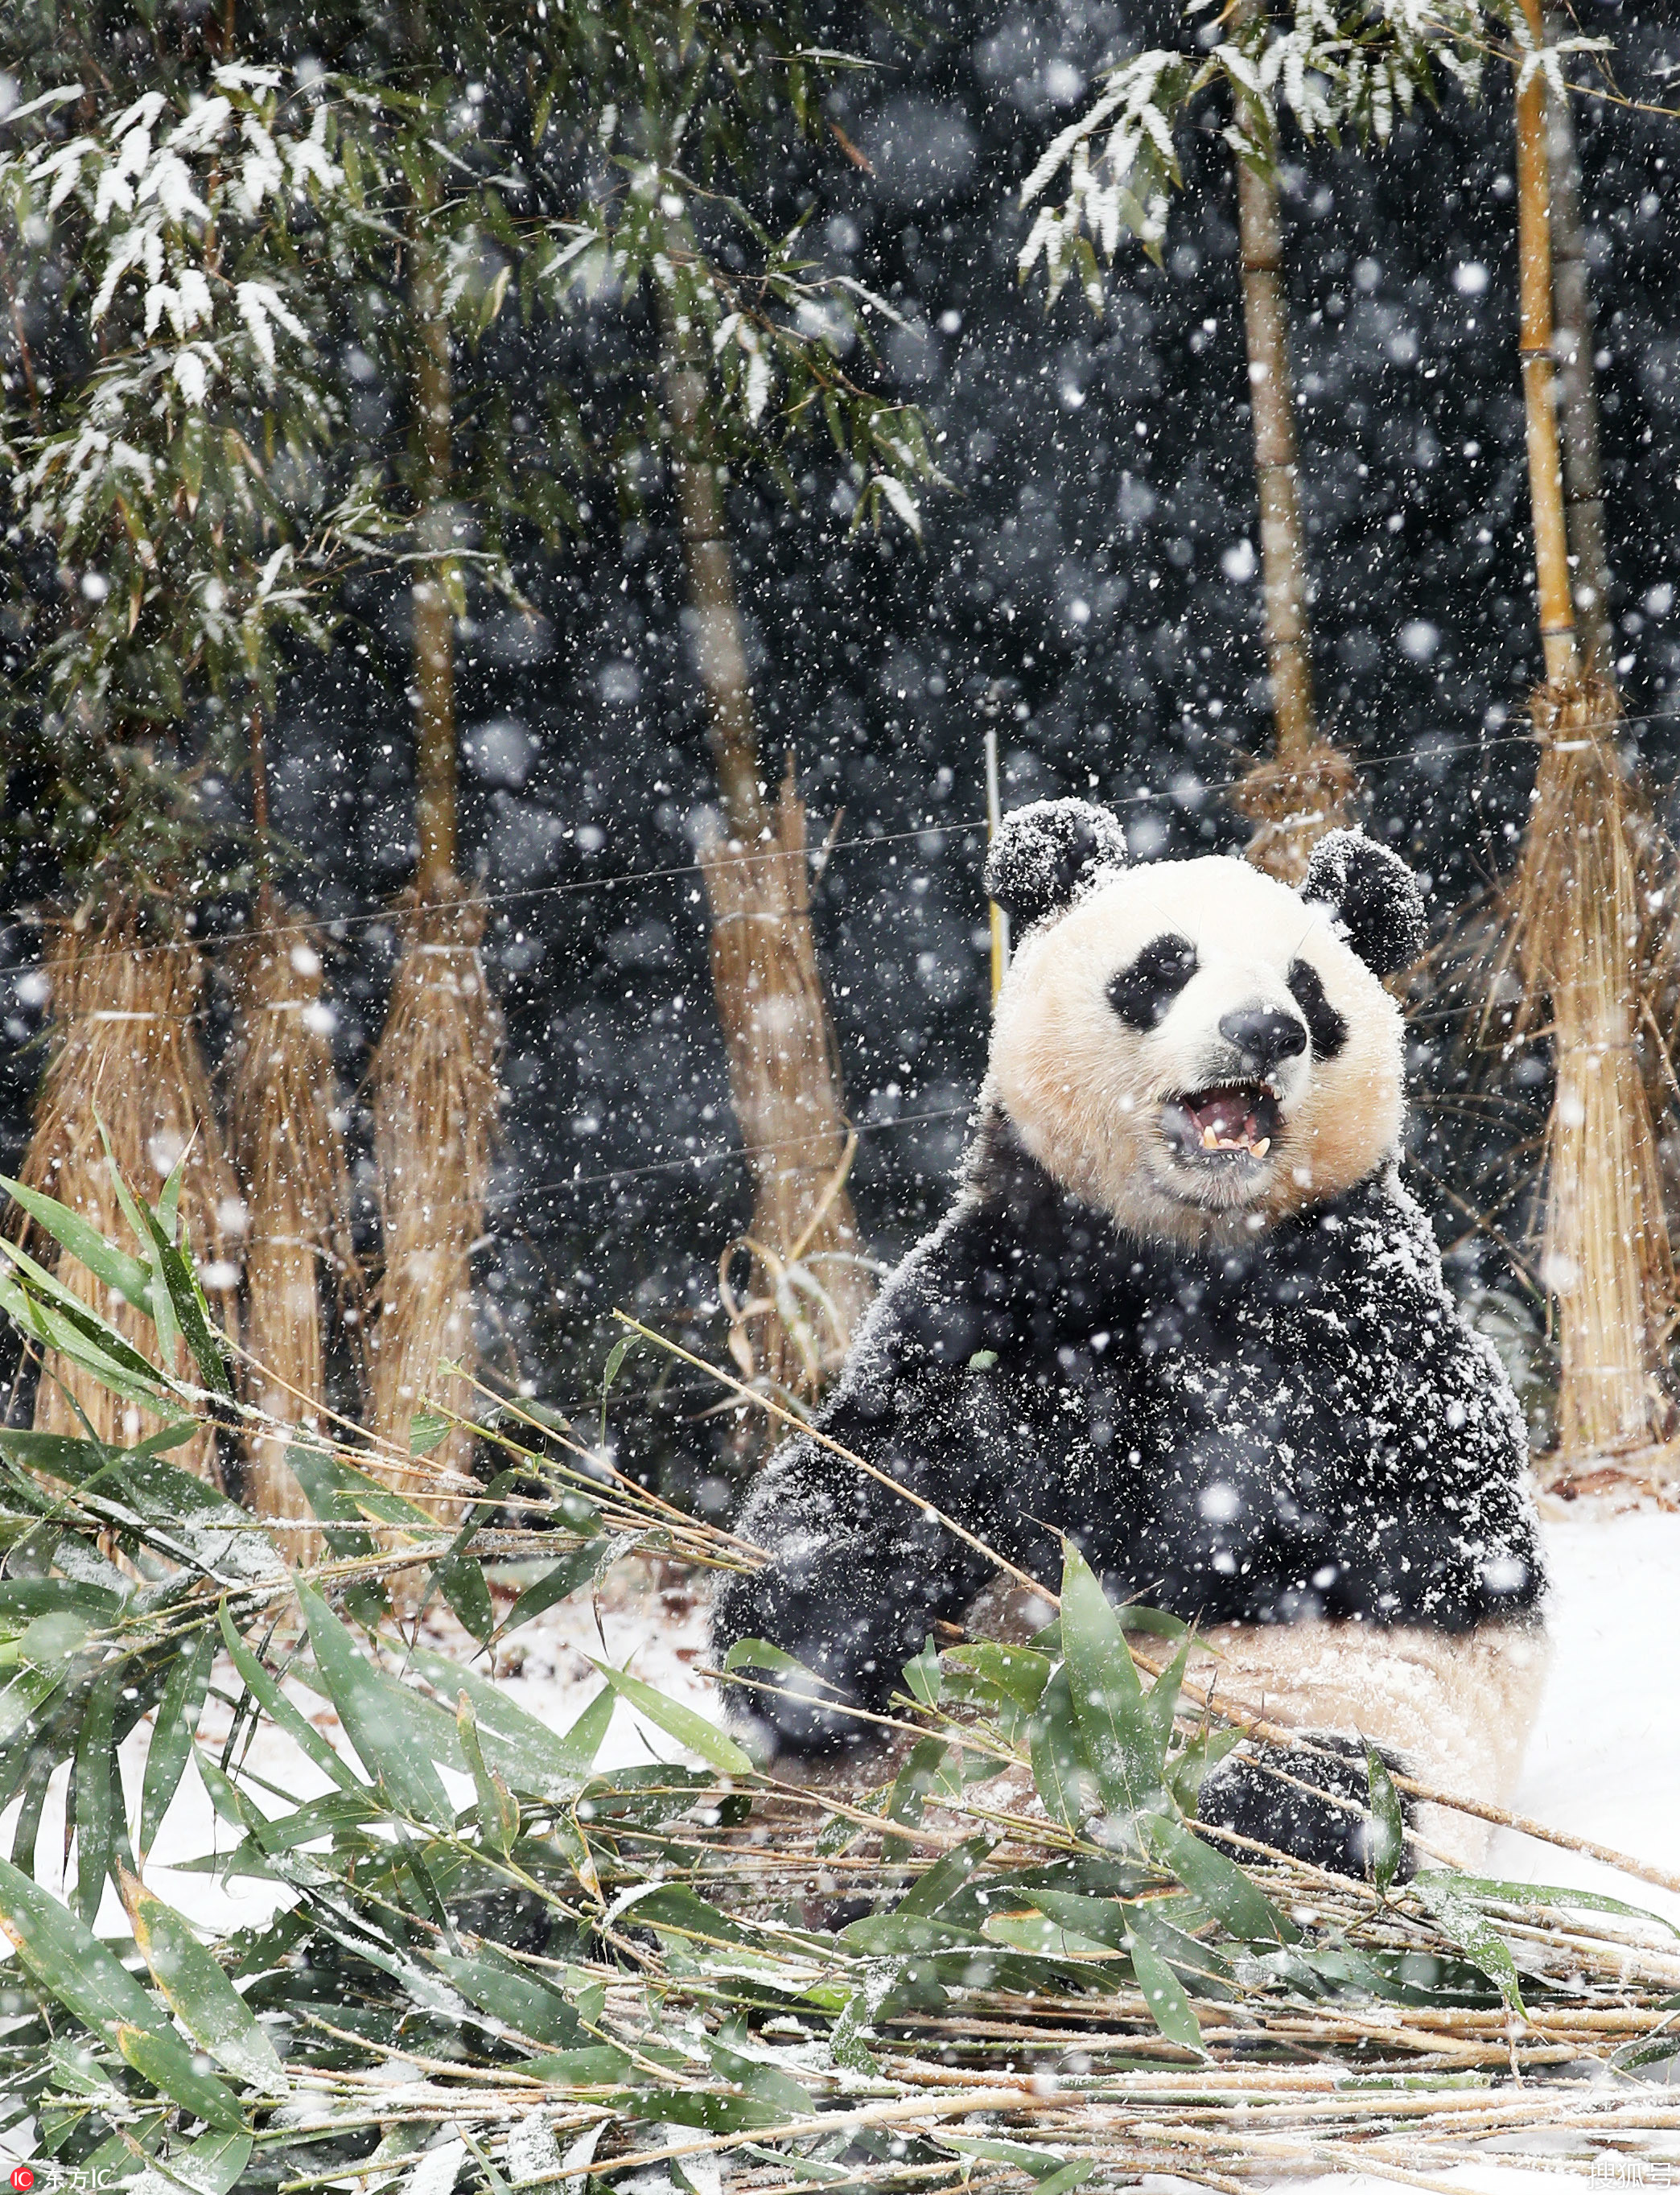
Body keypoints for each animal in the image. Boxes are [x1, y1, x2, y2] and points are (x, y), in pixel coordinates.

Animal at [711, 798, 1546, 1879]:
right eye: (1164, 966)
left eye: (1309, 990)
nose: (1265, 1030)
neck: (1185, 1247)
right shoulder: (989, 1278)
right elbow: (859, 1475)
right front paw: (833, 1628)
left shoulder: (1371, 1320)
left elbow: (1402, 1529)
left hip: (1344, 1734)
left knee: (1331, 1798)